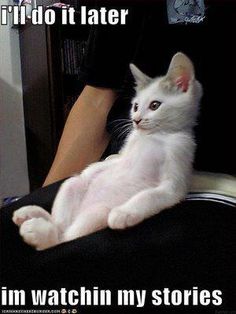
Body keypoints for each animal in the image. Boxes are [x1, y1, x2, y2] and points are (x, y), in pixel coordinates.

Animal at [12, 53, 202, 250]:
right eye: (135, 106)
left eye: (155, 105)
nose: (136, 120)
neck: (156, 136)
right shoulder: (126, 150)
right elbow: (113, 160)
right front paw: (91, 170)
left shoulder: (175, 179)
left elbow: (149, 196)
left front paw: (123, 213)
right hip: (71, 186)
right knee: (63, 220)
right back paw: (34, 215)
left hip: (97, 213)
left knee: (64, 238)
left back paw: (39, 231)